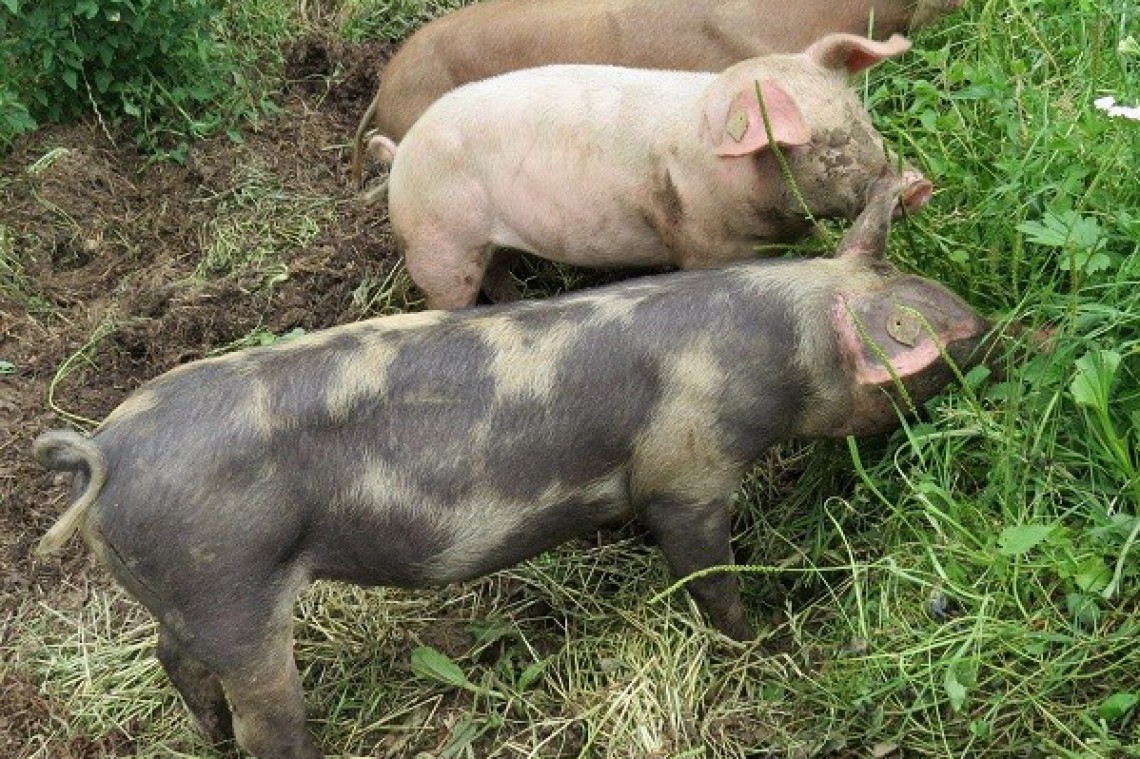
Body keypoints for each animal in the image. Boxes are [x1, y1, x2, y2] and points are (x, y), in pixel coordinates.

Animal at [37, 180, 998, 752]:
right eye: (933, 334)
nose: (1000, 330)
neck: (777, 339)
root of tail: (105, 452)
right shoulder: (685, 467)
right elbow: (705, 570)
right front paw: (763, 639)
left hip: (183, 591)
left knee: (173, 655)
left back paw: (206, 730)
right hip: (231, 584)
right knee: (257, 705)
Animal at [378, 31, 930, 309]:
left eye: (859, 117)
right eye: (819, 144)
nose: (918, 184)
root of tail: (399, 154)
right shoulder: (702, 245)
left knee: (496, 273)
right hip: (438, 246)